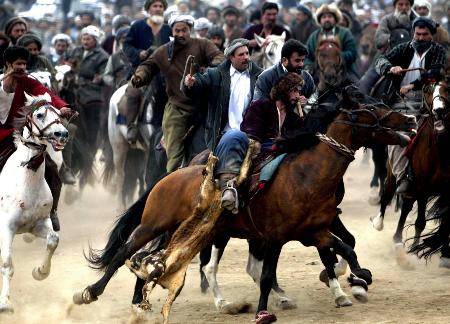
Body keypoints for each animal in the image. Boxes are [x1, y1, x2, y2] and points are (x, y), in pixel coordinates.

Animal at [0, 92, 68, 312]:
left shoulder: (37, 224)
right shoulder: (6, 227)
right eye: (39, 115)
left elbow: (53, 240)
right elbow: (7, 262)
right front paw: (5, 303)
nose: (62, 134)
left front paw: (40, 271)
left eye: (59, 114)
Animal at [73, 87, 414, 322]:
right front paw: (263, 311)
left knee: (149, 259)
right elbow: (266, 276)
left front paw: (359, 278)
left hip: (184, 232)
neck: (307, 174)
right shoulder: (275, 237)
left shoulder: (313, 232)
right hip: (154, 224)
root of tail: (169, 176)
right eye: (372, 108)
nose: (410, 118)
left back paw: (139, 304)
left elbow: (345, 248)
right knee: (124, 253)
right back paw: (90, 292)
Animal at [370, 79, 450, 268]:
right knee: (387, 197)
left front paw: (444, 255)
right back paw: (381, 225)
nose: (439, 110)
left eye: (447, 88)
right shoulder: (423, 187)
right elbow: (420, 221)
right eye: (427, 90)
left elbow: (444, 222)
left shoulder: (446, 192)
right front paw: (414, 249)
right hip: (393, 175)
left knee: (406, 205)